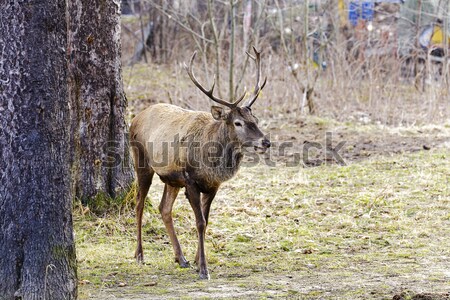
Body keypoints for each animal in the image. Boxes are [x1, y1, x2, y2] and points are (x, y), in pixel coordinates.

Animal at [130, 46, 270, 278]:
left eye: (255, 120)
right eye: (237, 122)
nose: (266, 141)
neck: (210, 163)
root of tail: (135, 118)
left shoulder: (213, 185)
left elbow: (207, 219)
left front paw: (196, 260)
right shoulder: (191, 181)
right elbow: (200, 222)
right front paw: (203, 268)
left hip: (171, 179)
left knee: (164, 208)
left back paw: (181, 258)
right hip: (141, 162)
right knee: (140, 202)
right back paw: (139, 255)